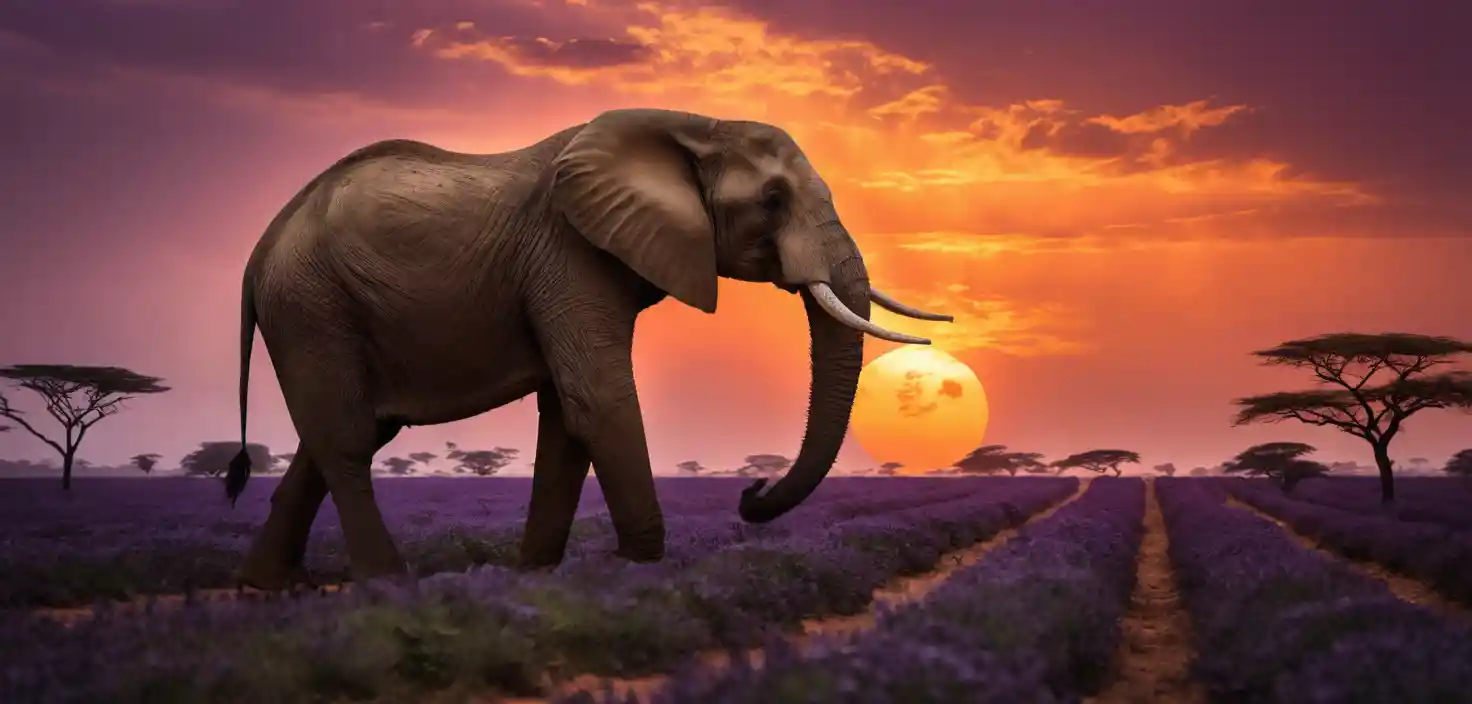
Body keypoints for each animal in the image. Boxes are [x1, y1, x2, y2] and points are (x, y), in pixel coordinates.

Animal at [223, 108, 953, 589]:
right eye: (773, 201)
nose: (750, 491)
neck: (693, 125)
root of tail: (259, 251)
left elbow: (567, 417)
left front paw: (531, 577)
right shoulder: (566, 251)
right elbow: (596, 398)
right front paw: (638, 570)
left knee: (338, 437)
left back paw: (269, 588)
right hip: (312, 305)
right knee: (347, 441)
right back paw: (388, 585)